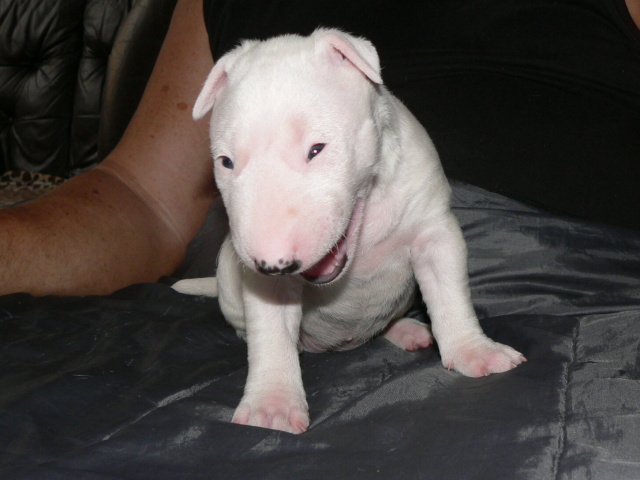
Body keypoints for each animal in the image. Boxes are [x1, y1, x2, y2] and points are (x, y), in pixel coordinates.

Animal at [173, 28, 526, 434]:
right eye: (226, 162)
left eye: (316, 149)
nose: (273, 264)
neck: (363, 229)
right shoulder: (264, 285)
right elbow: (271, 333)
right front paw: (272, 406)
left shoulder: (433, 230)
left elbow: (450, 295)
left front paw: (476, 351)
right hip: (230, 284)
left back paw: (406, 330)